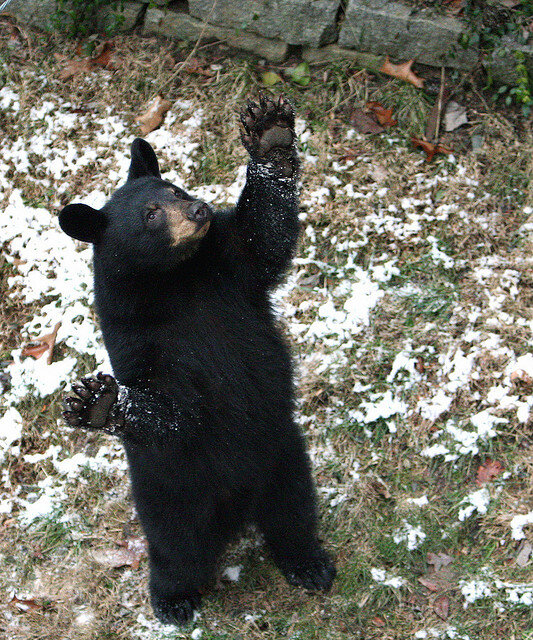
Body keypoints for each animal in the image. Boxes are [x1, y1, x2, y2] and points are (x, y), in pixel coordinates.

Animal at [59, 95, 336, 626]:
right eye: (150, 214)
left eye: (174, 187)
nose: (198, 208)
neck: (175, 280)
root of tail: (237, 509)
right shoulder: (139, 339)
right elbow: (173, 406)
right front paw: (98, 404)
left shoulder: (230, 267)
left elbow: (263, 235)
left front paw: (270, 135)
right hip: (172, 496)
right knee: (178, 551)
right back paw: (173, 600)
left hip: (284, 458)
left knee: (293, 515)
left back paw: (310, 565)